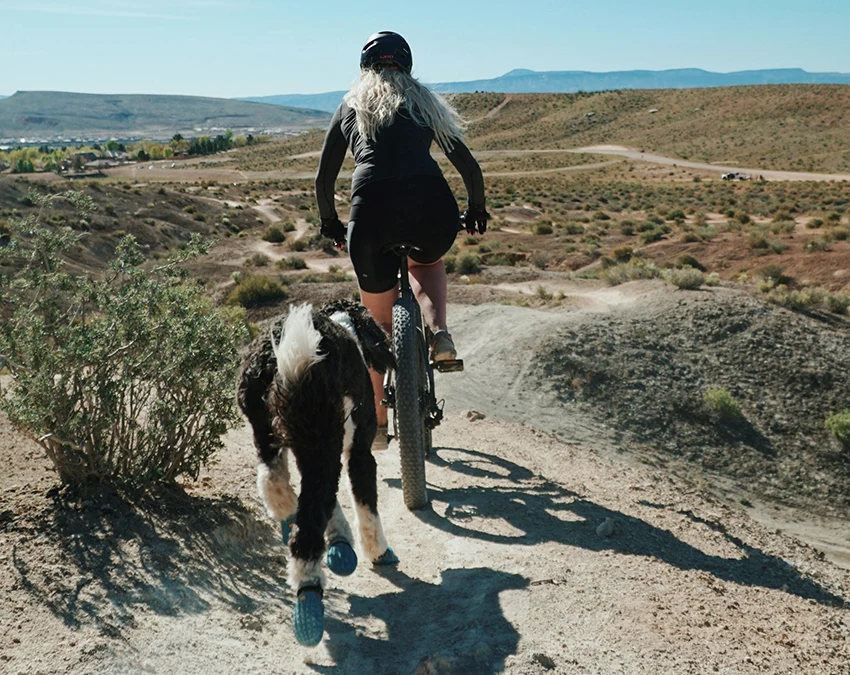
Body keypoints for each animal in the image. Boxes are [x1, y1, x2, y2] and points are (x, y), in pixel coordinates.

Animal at [235, 302, 398, 648]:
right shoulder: (357, 452)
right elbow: (365, 504)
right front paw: (378, 550)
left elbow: (332, 502)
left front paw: (341, 545)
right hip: (321, 438)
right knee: (308, 525)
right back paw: (308, 601)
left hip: (268, 432)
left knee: (273, 483)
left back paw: (287, 519)